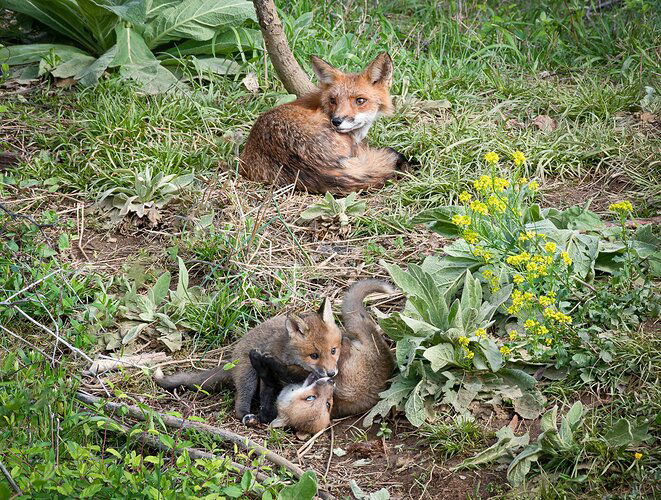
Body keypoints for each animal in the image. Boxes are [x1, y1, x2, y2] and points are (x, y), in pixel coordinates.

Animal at [155, 296, 340, 426]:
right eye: (314, 356)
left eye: (333, 350)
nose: (332, 373)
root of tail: (232, 358)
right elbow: (267, 390)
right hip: (248, 377)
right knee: (240, 401)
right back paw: (245, 415)